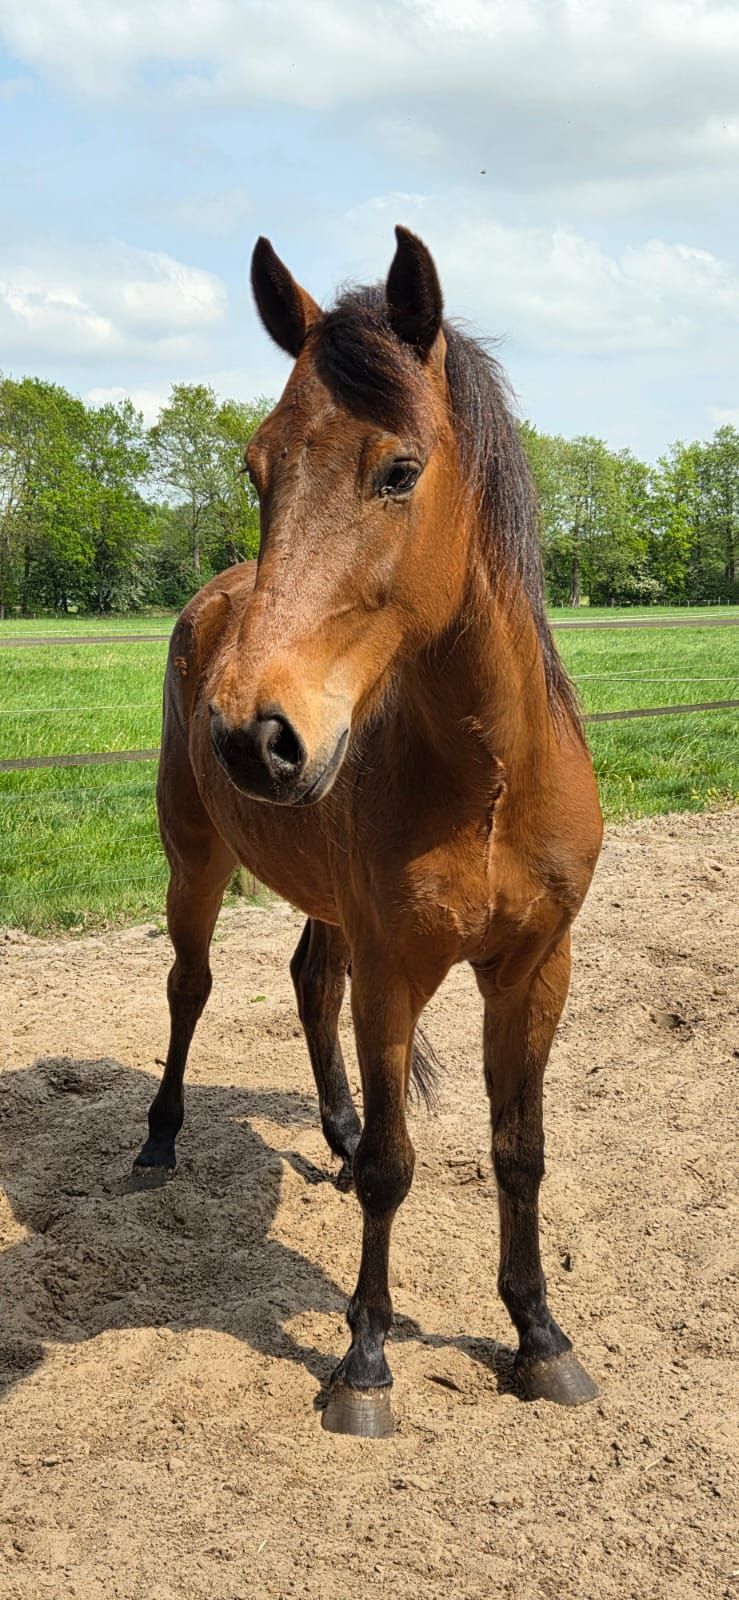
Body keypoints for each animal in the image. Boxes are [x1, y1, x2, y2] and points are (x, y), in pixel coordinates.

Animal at [133, 226, 604, 1437]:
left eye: (398, 469)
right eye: (256, 469)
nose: (252, 736)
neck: (486, 781)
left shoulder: (534, 969)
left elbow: (520, 1153)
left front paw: (538, 1337)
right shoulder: (398, 971)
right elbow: (401, 1163)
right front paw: (364, 1358)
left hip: (326, 897)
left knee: (310, 980)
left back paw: (333, 1136)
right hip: (196, 865)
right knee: (191, 988)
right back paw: (158, 1138)